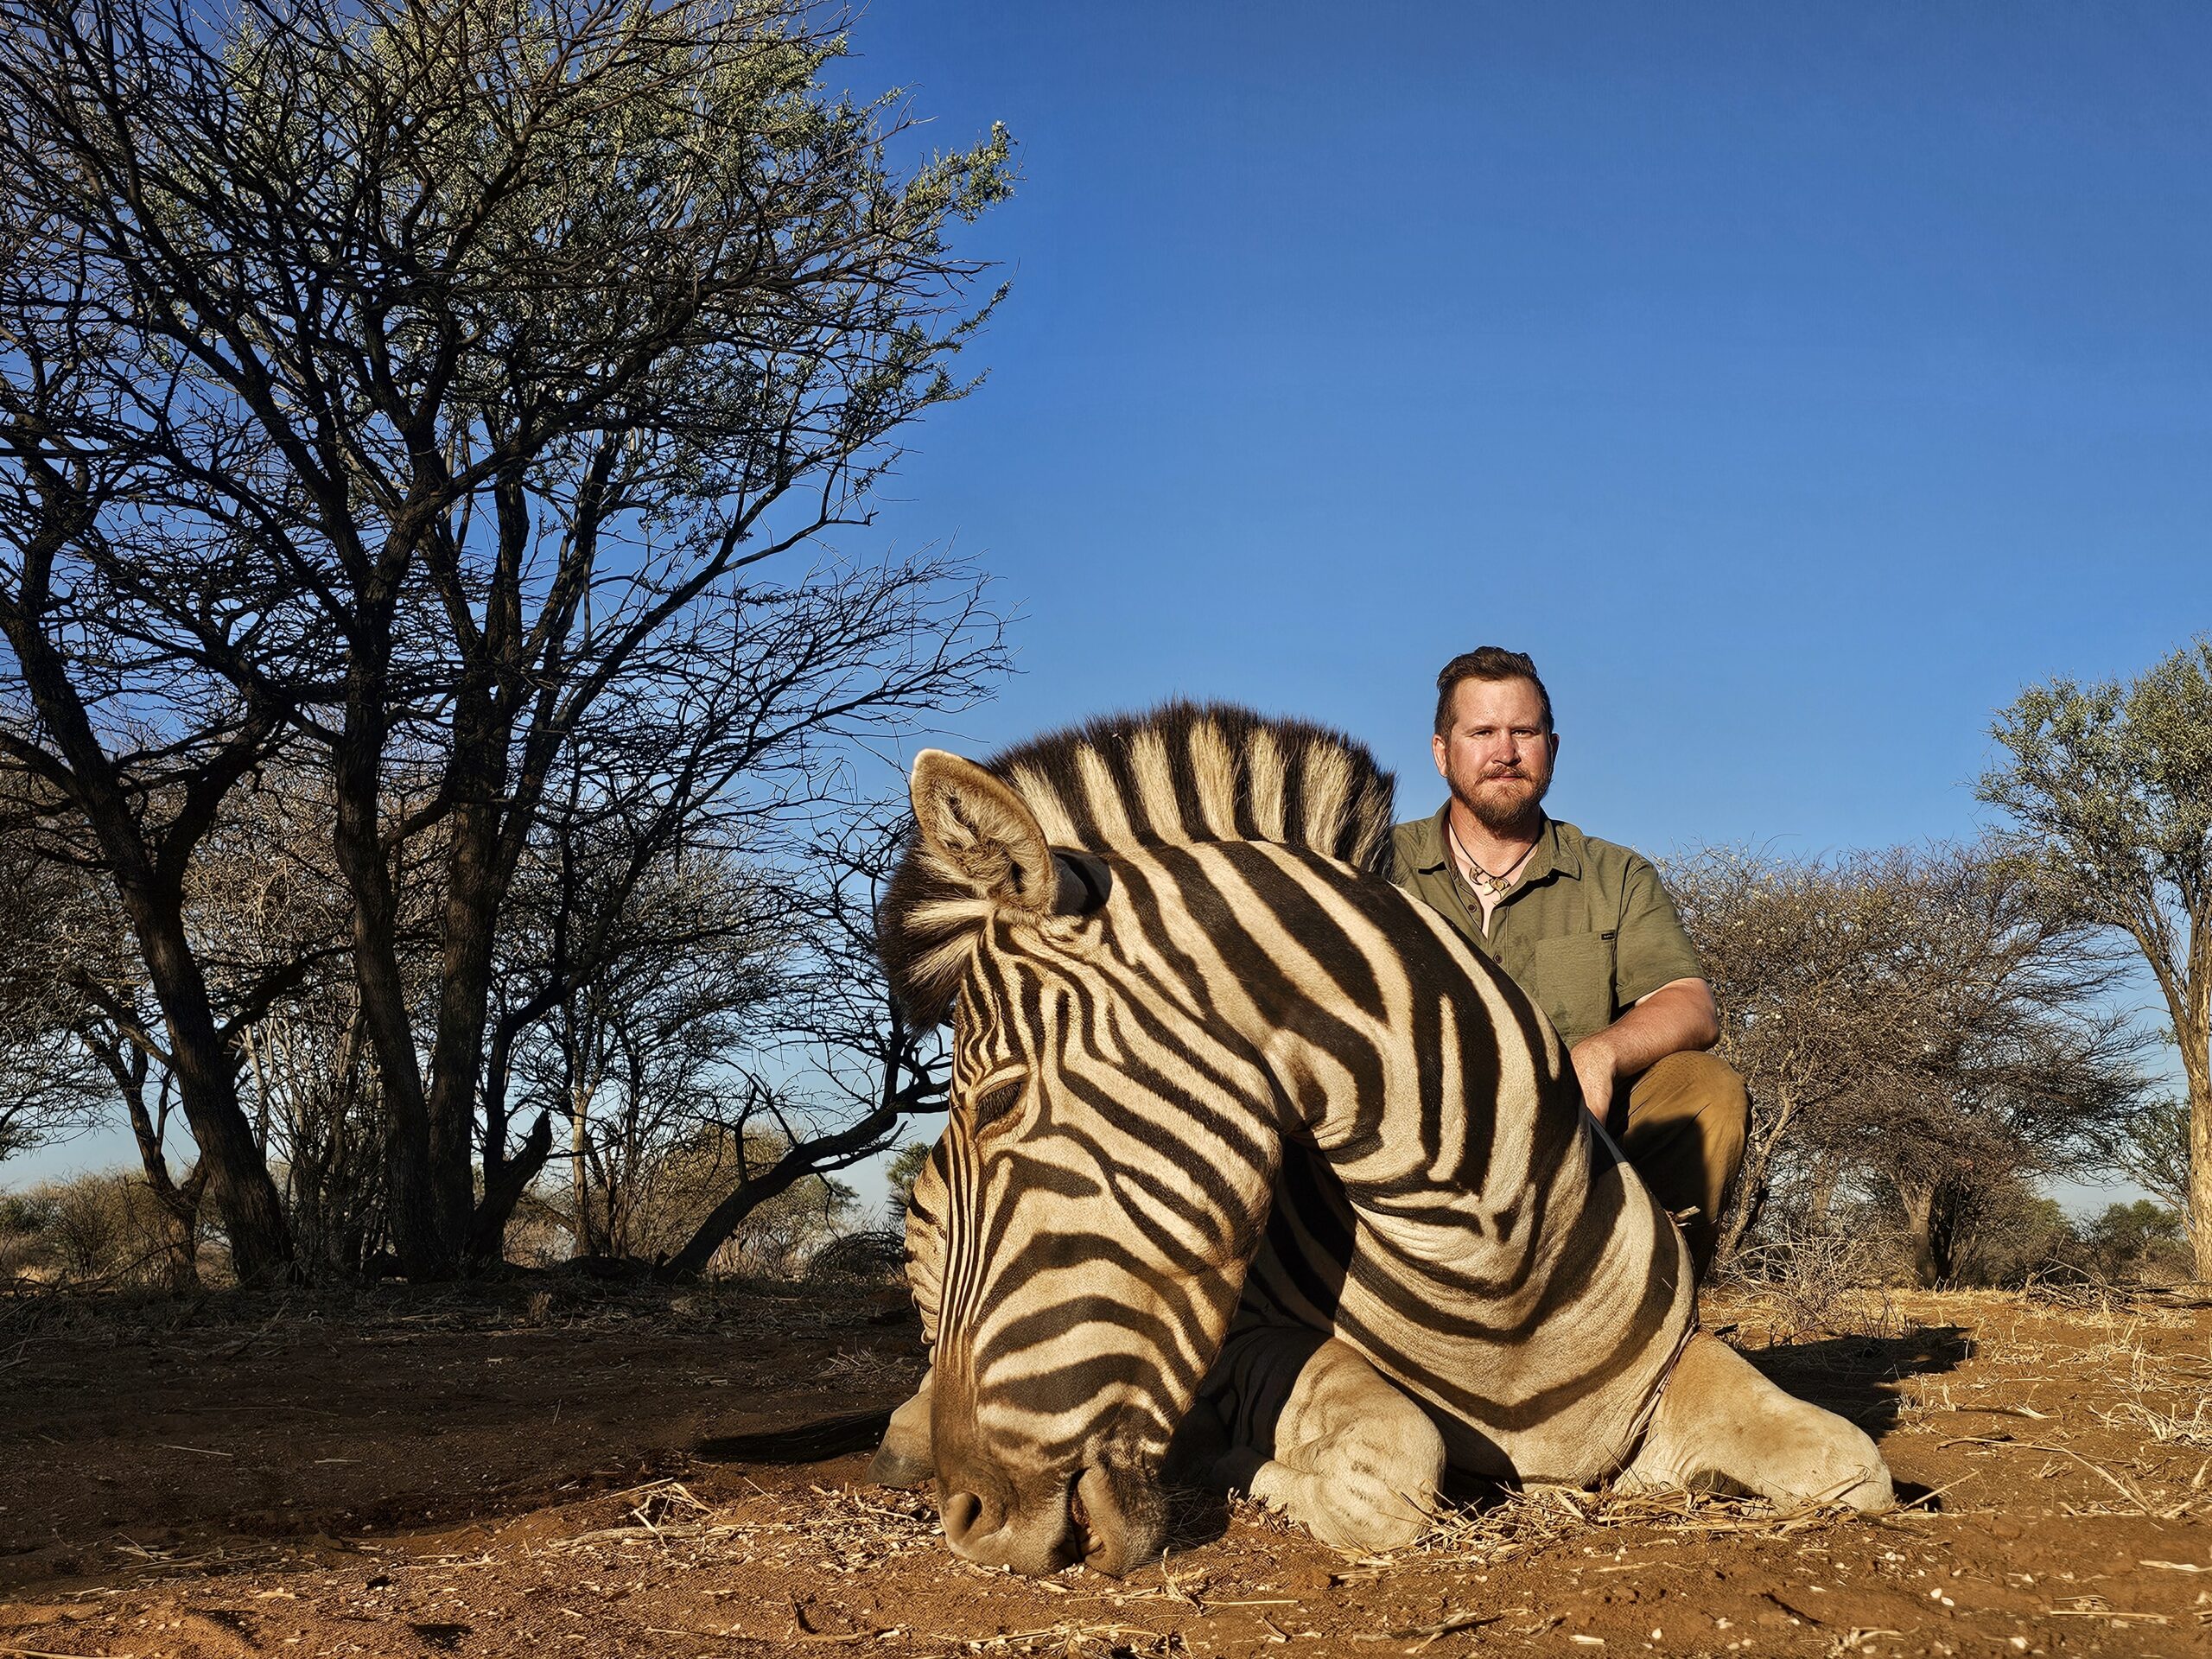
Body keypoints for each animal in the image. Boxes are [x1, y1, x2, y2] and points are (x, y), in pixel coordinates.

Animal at [869, 702, 1891, 1576]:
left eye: (998, 1100)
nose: (968, 1518)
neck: (1493, 1257)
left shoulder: (1674, 1364)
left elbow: (1850, 1464)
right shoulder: (1251, 1347)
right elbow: (1396, 1464)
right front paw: (1247, 1470)